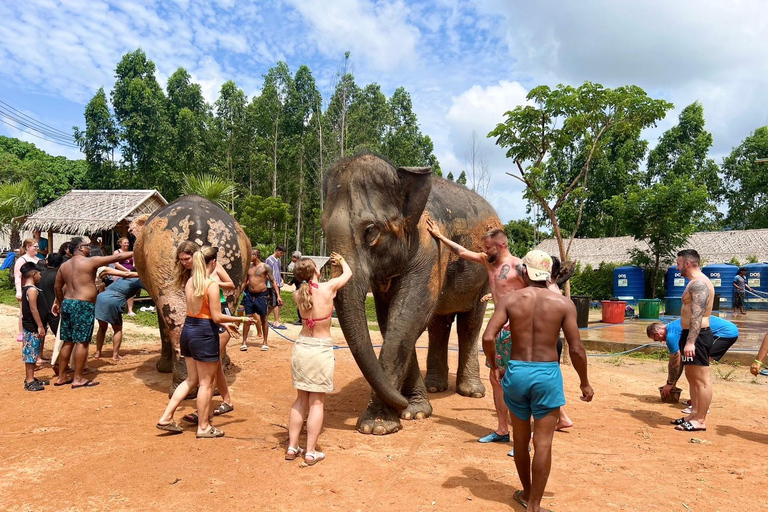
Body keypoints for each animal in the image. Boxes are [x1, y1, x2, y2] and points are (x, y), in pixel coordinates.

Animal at [320, 153, 500, 436]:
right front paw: (415, 411)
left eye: (370, 231)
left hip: (484, 275)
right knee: (439, 323)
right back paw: (435, 386)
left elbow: (409, 316)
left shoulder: (431, 250)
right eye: (323, 229)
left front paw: (377, 425)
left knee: (470, 323)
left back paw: (471, 392)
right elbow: (392, 320)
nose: (401, 401)